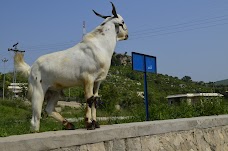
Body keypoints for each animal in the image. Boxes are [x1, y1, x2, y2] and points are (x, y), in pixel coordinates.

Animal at [14, 2, 128, 132]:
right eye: (123, 22)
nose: (127, 35)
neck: (100, 45)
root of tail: (31, 68)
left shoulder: (97, 81)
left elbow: (95, 100)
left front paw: (96, 123)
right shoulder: (88, 79)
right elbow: (89, 99)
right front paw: (89, 123)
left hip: (55, 91)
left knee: (49, 109)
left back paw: (69, 124)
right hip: (38, 90)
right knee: (35, 117)